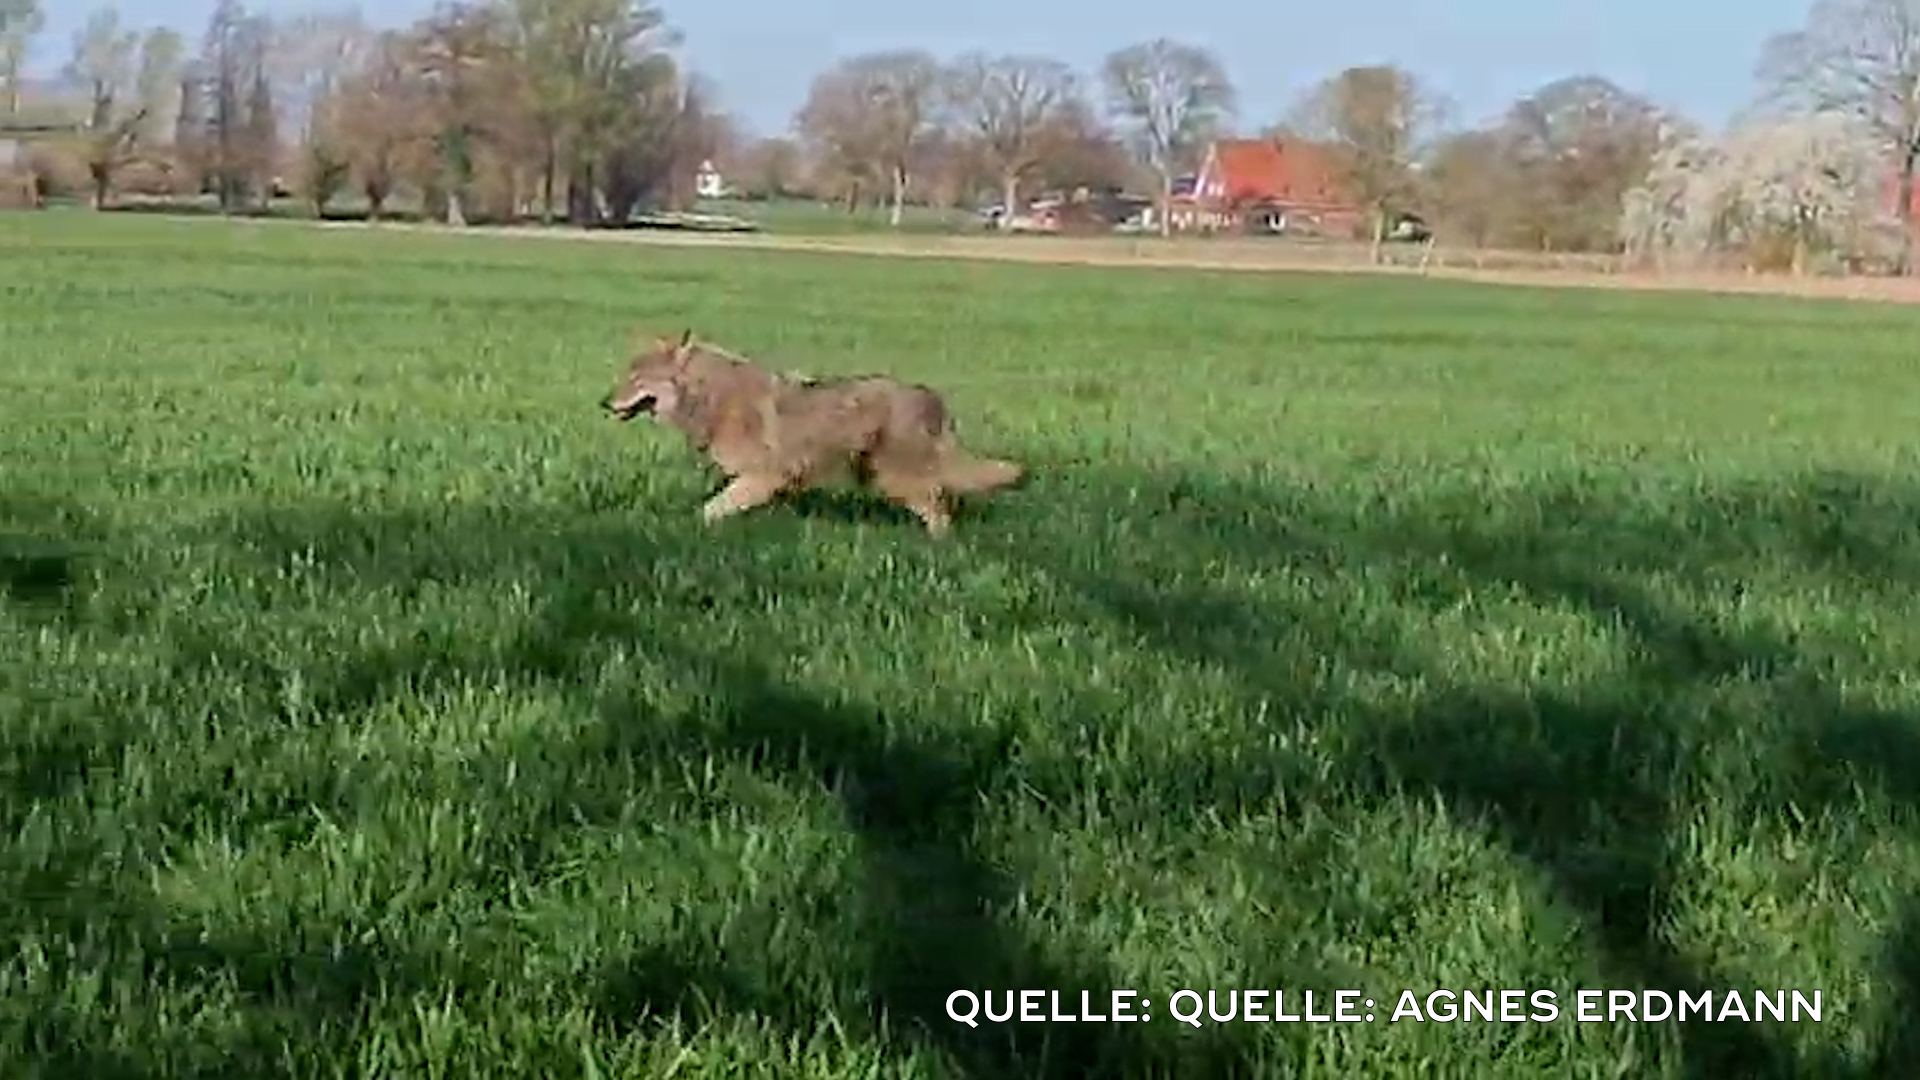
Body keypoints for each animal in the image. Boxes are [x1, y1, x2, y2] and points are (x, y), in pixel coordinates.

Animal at [602, 329, 1024, 536]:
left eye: (636, 379)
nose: (605, 403)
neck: (711, 397)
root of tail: (931, 397)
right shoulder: (771, 481)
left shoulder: (765, 475)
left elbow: (710, 509)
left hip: (895, 477)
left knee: (939, 508)